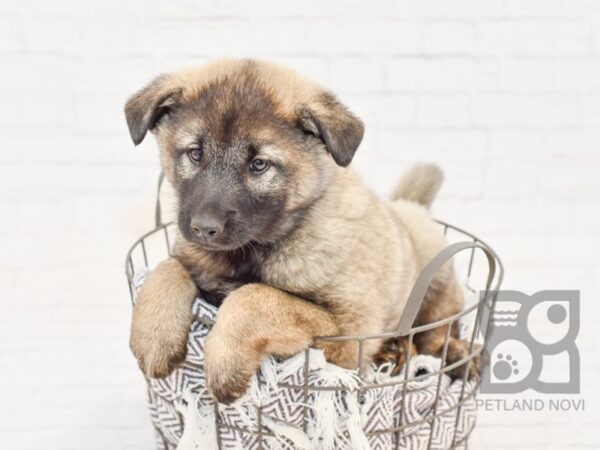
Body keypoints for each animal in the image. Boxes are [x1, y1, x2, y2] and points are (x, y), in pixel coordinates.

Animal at [124, 59, 472, 404]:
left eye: (259, 164)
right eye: (195, 153)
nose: (204, 228)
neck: (258, 247)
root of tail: (407, 206)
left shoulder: (348, 333)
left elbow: (255, 296)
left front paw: (225, 362)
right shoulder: (195, 262)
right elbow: (167, 268)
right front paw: (154, 338)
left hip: (434, 281)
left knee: (438, 333)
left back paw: (449, 353)